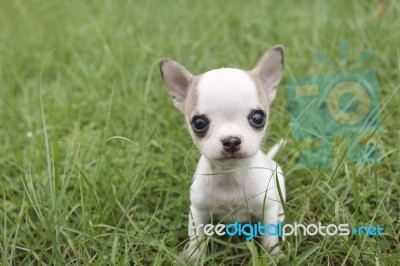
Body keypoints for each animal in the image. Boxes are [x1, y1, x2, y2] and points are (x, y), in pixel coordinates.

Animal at [158, 45, 286, 260]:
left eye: (258, 118)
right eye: (199, 123)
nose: (231, 140)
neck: (230, 176)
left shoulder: (267, 206)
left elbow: (269, 235)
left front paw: (272, 255)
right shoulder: (198, 211)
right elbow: (197, 237)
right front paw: (193, 256)